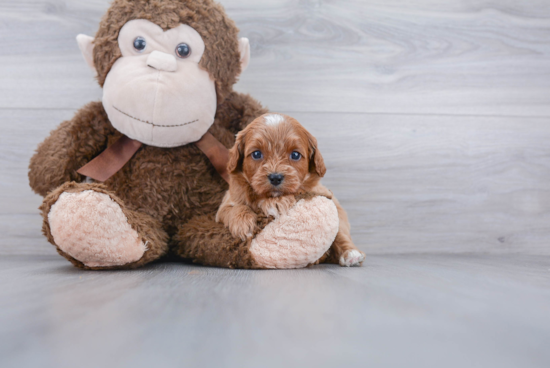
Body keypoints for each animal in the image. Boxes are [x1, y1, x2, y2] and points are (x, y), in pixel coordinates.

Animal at [218, 113, 368, 268]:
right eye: (257, 154)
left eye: (295, 155)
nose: (275, 177)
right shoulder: (227, 203)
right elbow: (234, 208)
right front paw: (243, 224)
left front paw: (276, 203)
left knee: (340, 233)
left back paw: (351, 253)